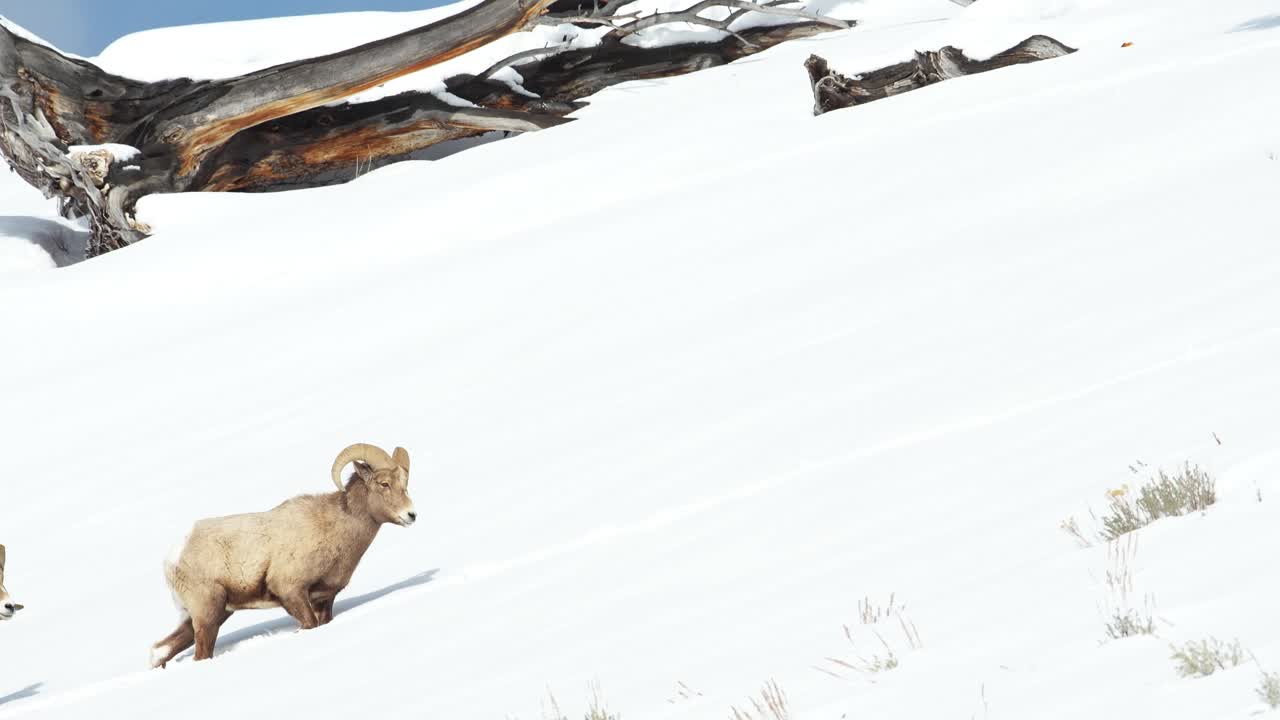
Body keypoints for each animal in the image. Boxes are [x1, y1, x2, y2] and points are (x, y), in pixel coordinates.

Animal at [149, 443, 416, 667]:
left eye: (404, 483)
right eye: (384, 483)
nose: (411, 515)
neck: (336, 527)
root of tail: (173, 557)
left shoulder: (323, 598)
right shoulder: (290, 591)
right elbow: (308, 625)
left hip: (210, 613)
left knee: (160, 650)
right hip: (208, 614)